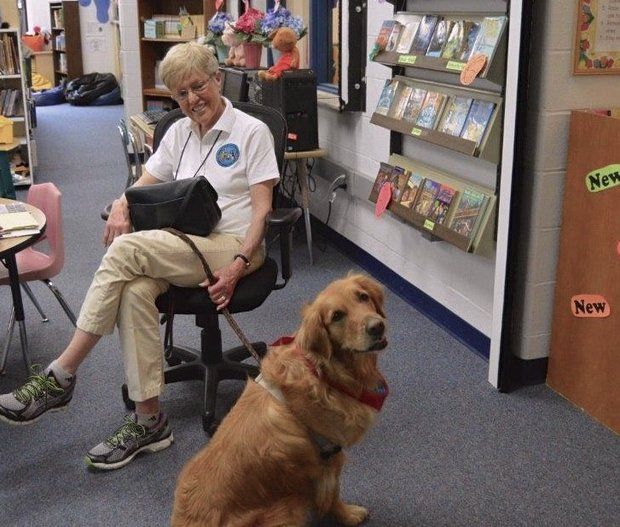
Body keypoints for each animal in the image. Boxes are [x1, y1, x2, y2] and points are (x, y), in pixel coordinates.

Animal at [171, 274, 388, 524]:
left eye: (363, 296)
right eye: (337, 316)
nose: (377, 326)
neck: (323, 371)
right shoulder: (328, 454)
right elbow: (332, 493)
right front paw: (348, 515)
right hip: (288, 505)